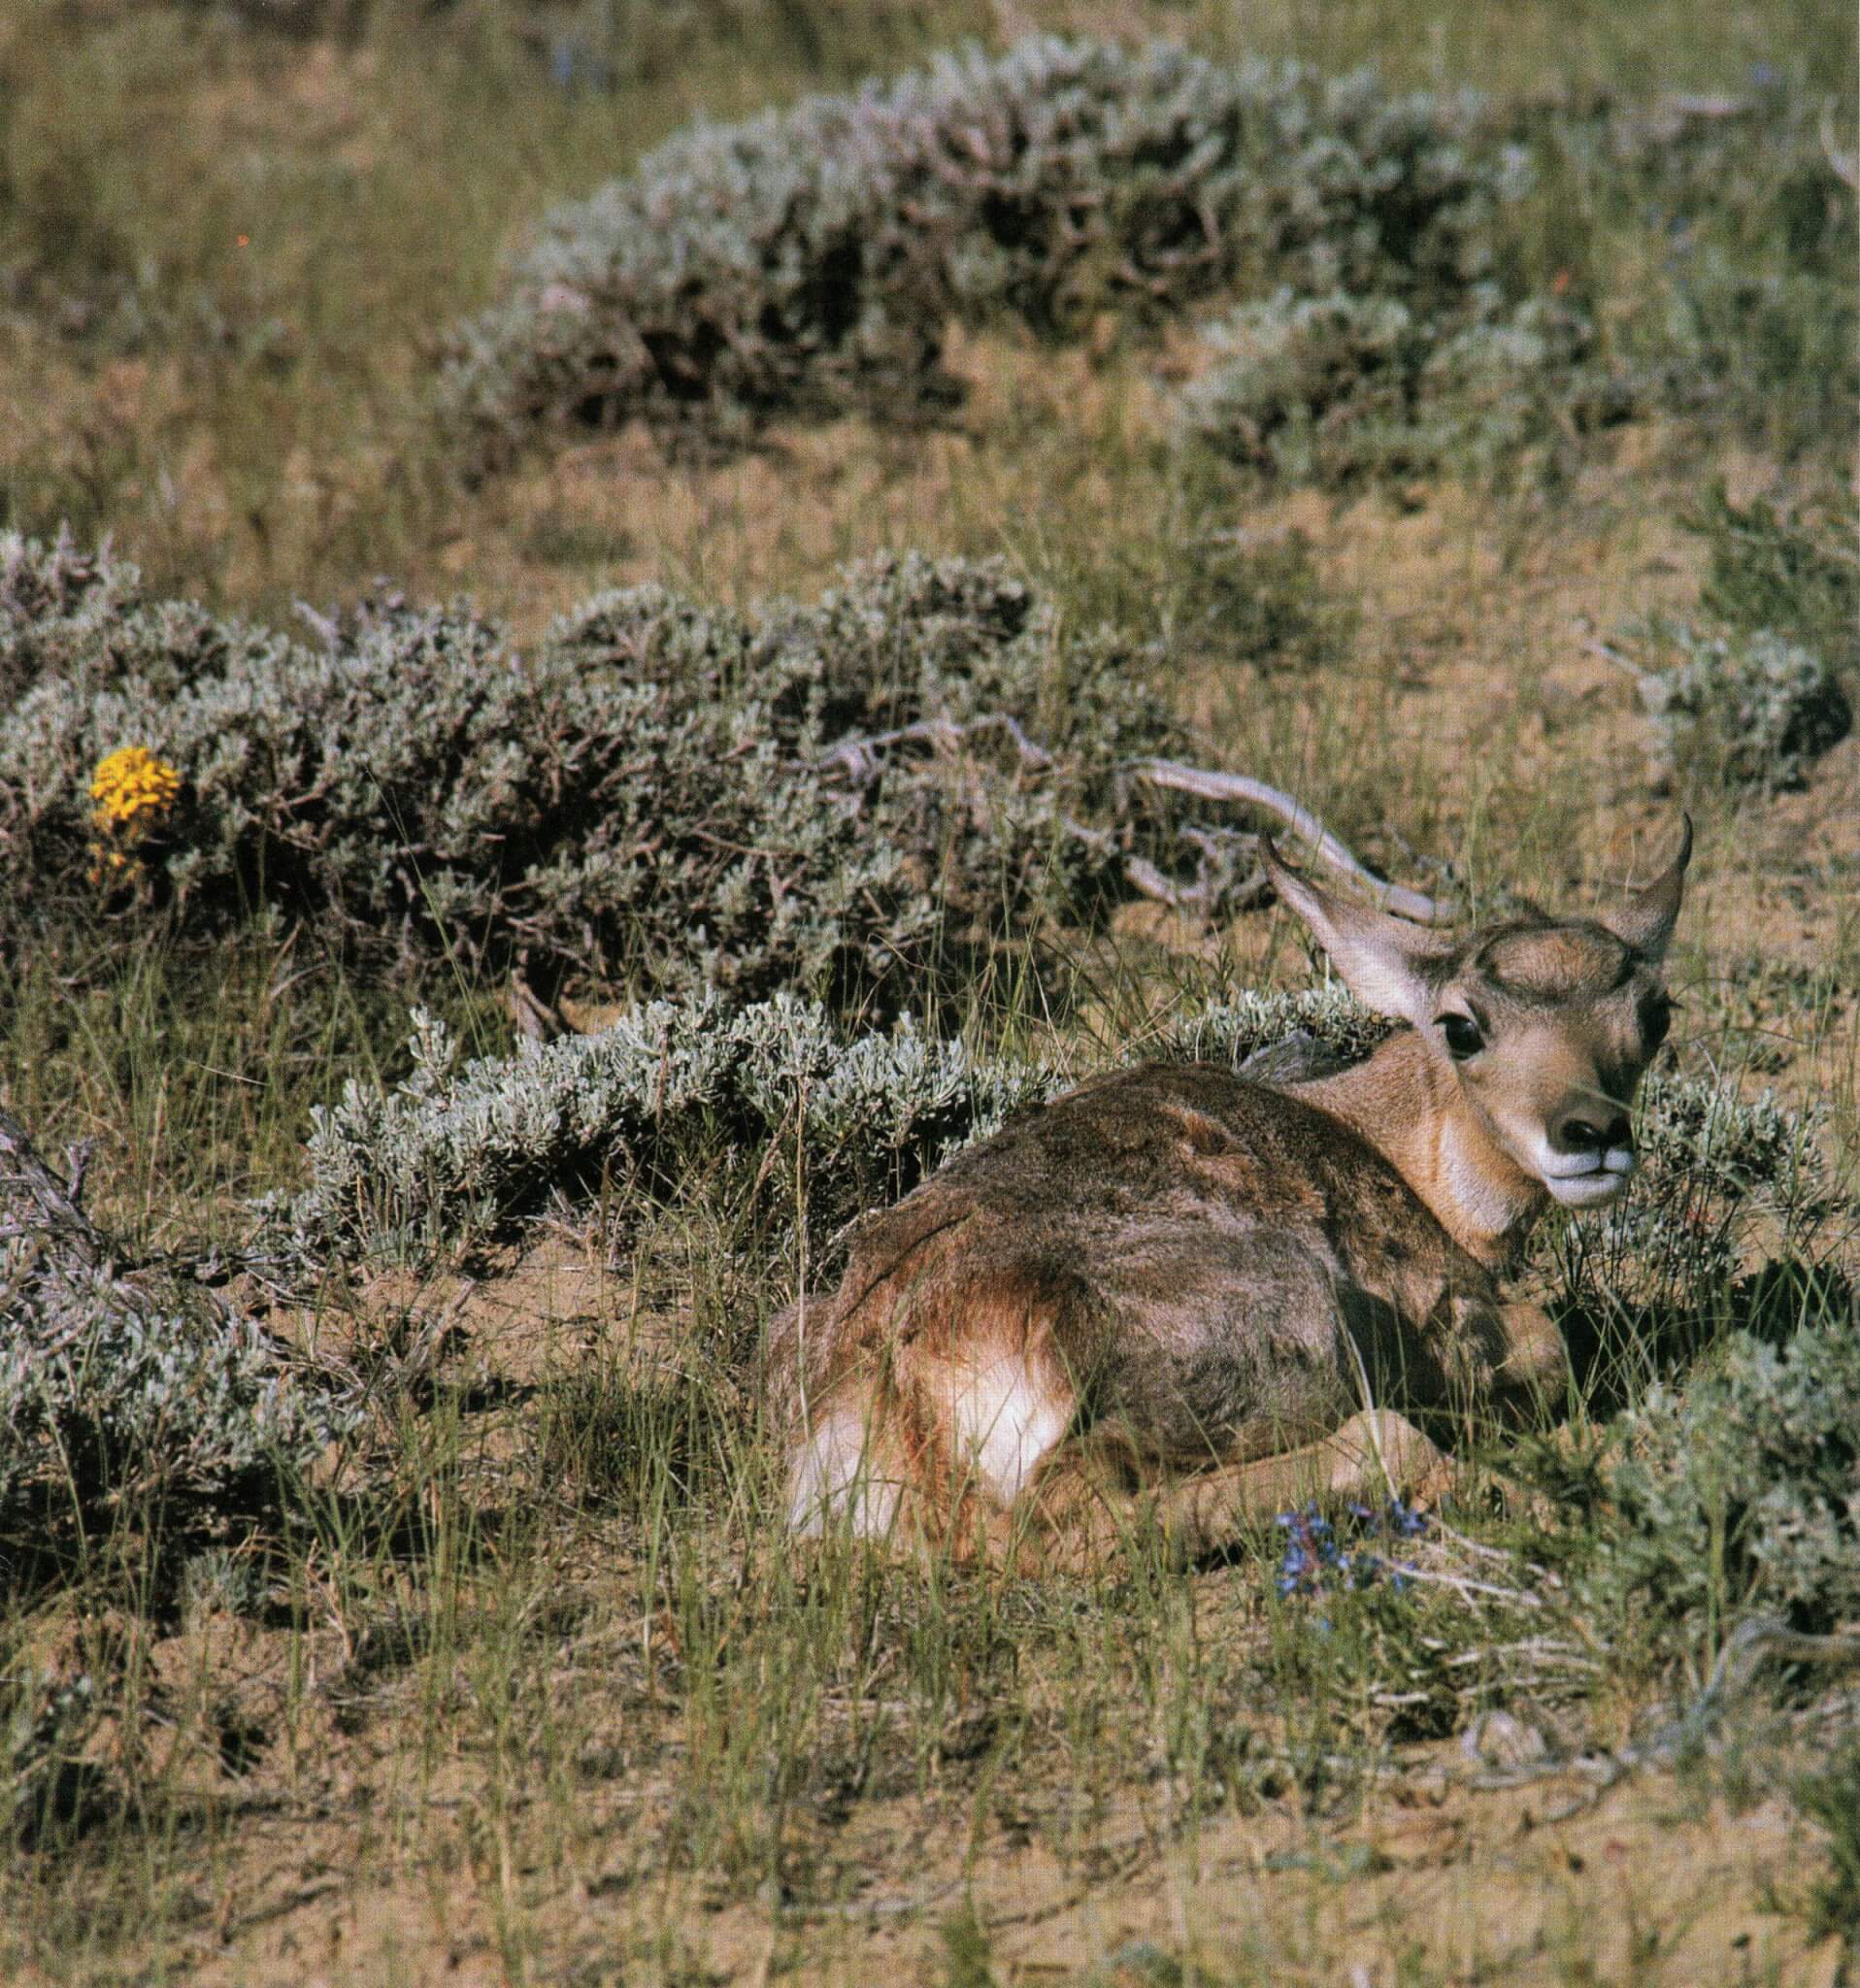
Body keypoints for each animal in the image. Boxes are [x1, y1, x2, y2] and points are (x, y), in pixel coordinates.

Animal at [769, 825, 1690, 1569]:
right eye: (1462, 1025)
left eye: (1656, 1013)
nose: (1592, 1133)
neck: (1387, 1143)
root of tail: (892, 1369)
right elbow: (1548, 1344)